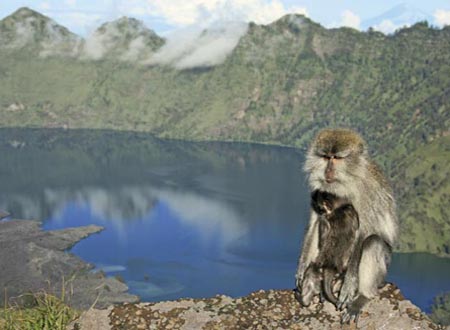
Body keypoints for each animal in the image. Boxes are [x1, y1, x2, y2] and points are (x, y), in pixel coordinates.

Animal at [296, 128, 398, 322]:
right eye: (326, 157)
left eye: (337, 158)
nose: (328, 170)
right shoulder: (318, 189)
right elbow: (314, 222)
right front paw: (302, 268)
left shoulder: (367, 192)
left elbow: (365, 232)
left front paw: (349, 285)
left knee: (373, 242)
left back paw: (362, 295)